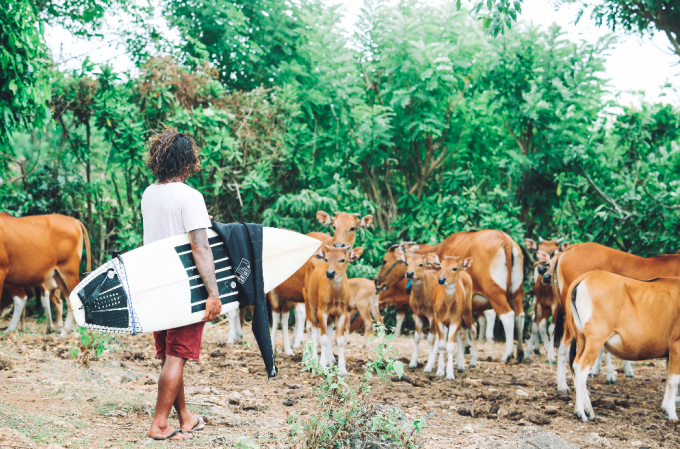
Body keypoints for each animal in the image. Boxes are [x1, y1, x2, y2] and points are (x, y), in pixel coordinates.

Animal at [306, 245, 364, 374]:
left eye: (342, 259)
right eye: (326, 259)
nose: (330, 273)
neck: (336, 297)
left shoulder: (343, 313)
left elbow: (340, 340)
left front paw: (342, 369)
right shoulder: (322, 311)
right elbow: (323, 339)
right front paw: (322, 366)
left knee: (329, 331)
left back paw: (330, 359)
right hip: (311, 307)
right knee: (315, 333)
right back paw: (314, 360)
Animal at [374, 229, 524, 362]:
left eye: (384, 261)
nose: (377, 281)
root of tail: (505, 239)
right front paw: (465, 348)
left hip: (495, 294)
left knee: (507, 316)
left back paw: (507, 355)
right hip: (517, 293)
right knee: (519, 316)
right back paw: (521, 353)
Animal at [564, 270, 680, 420]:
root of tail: (587, 276)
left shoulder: (669, 353)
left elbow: (668, 379)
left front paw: (665, 409)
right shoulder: (676, 346)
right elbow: (673, 381)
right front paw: (672, 414)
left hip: (582, 339)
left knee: (575, 366)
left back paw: (588, 410)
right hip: (596, 339)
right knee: (582, 367)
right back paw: (581, 413)